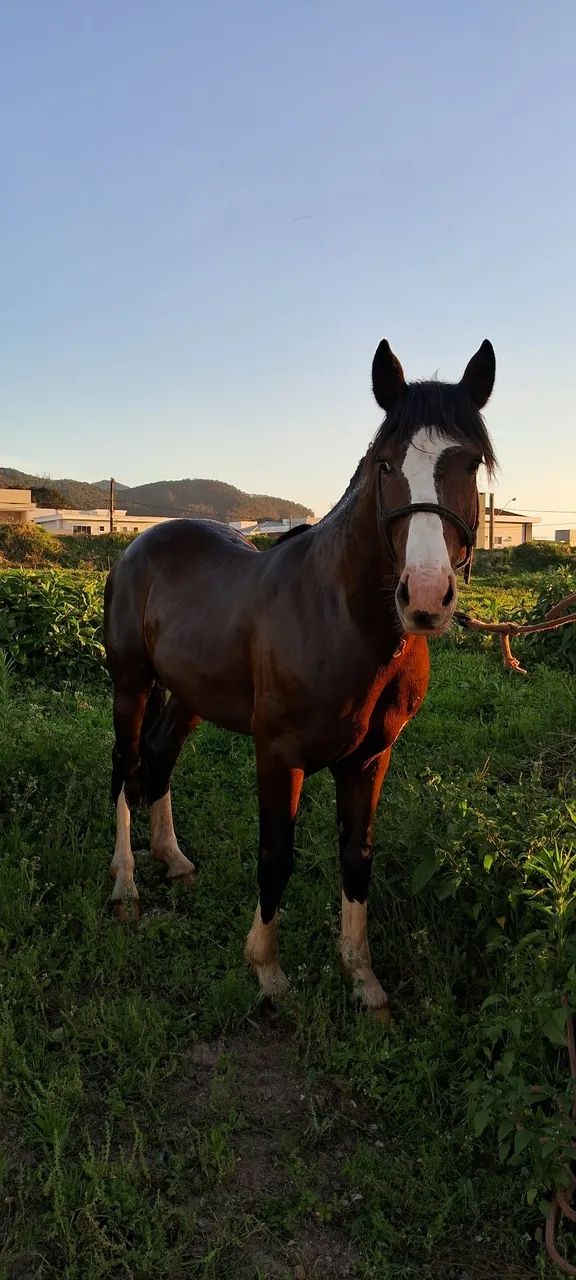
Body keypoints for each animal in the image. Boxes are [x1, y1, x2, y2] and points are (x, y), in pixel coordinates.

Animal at [103, 336, 496, 1014]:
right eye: (385, 465)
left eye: (469, 464)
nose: (424, 596)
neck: (341, 620)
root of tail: (136, 546)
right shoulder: (277, 753)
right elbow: (276, 855)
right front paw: (266, 970)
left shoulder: (370, 757)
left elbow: (357, 854)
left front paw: (362, 978)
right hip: (131, 684)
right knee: (126, 769)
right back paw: (126, 885)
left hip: (187, 697)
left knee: (157, 761)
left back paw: (173, 859)